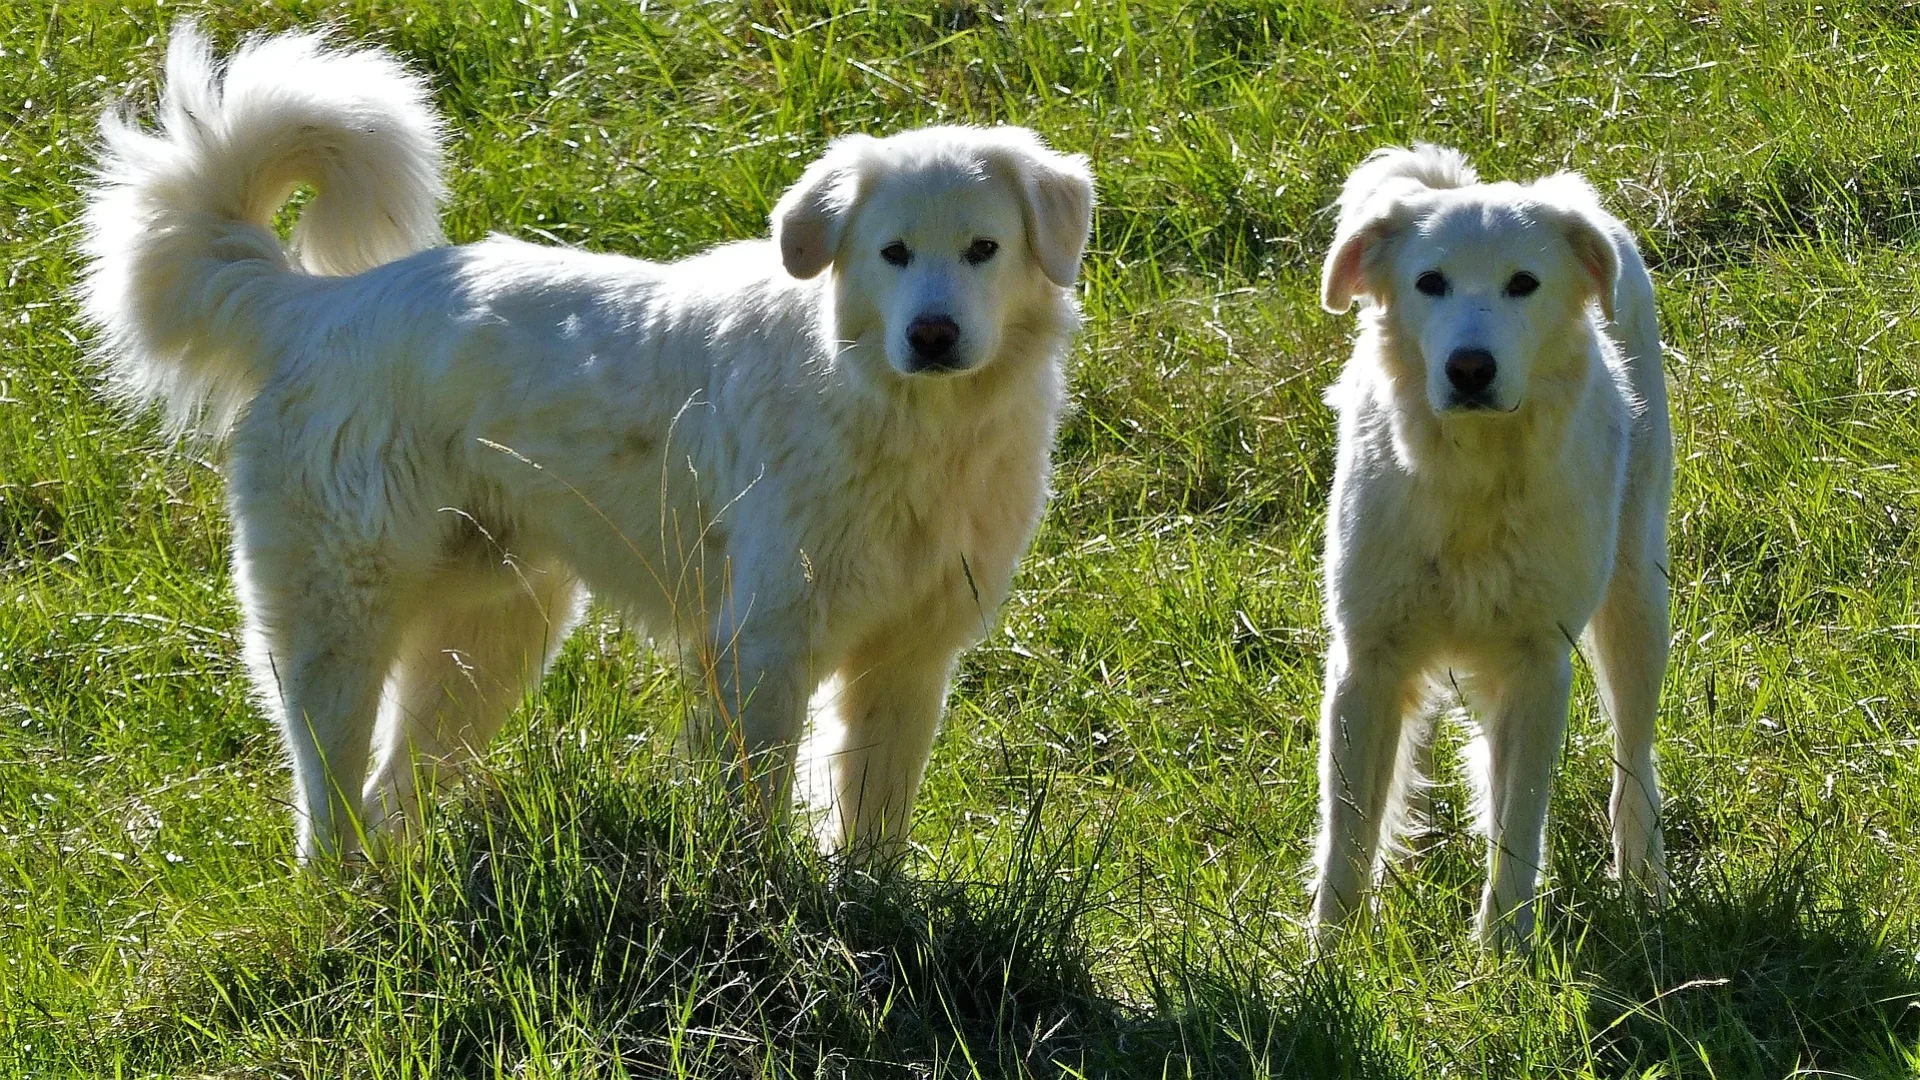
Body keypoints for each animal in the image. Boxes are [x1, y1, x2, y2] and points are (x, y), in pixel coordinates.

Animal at [78, 23, 1098, 864]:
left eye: (983, 249)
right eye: (893, 253)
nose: (932, 335)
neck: (905, 419)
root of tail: (316, 304)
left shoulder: (910, 653)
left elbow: (872, 817)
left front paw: (869, 912)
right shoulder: (764, 645)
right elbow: (756, 812)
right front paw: (769, 912)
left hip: (491, 635)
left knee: (389, 796)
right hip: (340, 620)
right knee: (329, 803)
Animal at [1313, 143, 1674, 941]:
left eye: (1523, 285)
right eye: (1430, 283)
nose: (1470, 368)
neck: (1473, 477)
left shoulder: (1538, 664)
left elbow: (1519, 823)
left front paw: (1502, 947)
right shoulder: (1368, 659)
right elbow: (1347, 833)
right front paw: (1330, 956)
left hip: (1638, 602)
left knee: (1633, 760)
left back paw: (1644, 881)